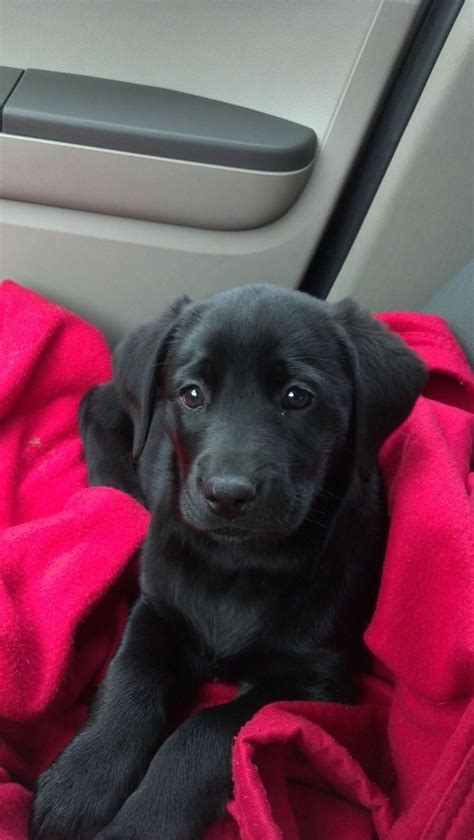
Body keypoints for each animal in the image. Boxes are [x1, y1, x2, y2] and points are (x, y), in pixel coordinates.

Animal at [31, 286, 428, 836]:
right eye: (192, 394)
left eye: (297, 397)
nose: (227, 494)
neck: (237, 564)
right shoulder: (155, 612)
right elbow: (128, 683)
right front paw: (80, 781)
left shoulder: (318, 678)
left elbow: (209, 730)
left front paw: (145, 822)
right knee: (97, 404)